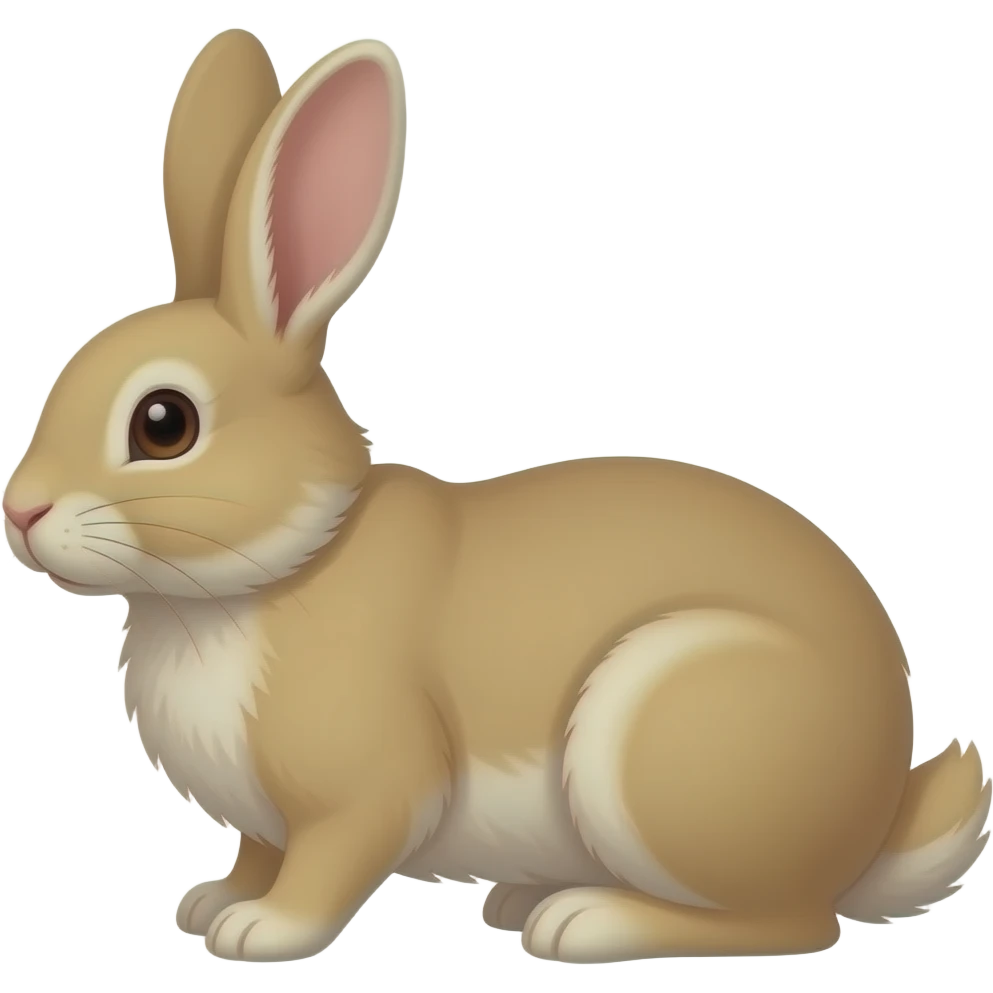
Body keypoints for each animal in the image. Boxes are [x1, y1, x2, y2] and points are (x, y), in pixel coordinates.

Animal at [2, 27, 990, 966]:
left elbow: (327, 863)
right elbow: (258, 852)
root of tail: (875, 821)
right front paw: (212, 901)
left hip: (664, 736)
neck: (280, 565)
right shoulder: (265, 820)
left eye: (163, 424)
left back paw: (584, 921)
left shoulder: (366, 788)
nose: (21, 510)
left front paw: (260, 930)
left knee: (786, 921)